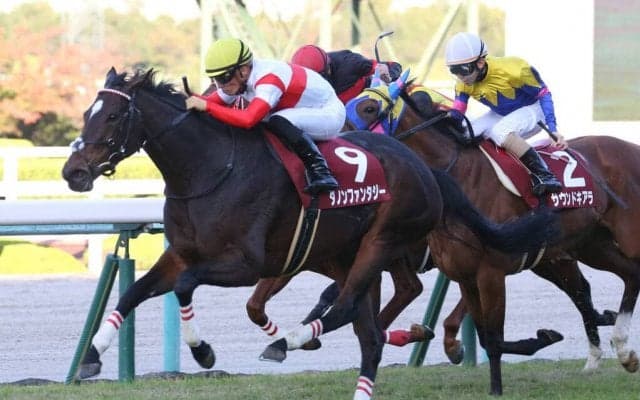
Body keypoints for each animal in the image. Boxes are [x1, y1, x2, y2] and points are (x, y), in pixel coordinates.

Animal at [61, 67, 558, 399]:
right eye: (87, 111)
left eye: (111, 117)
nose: (73, 172)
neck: (212, 168)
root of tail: (426, 171)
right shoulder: (183, 253)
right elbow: (134, 292)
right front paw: (92, 356)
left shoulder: (246, 263)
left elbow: (185, 287)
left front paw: (203, 352)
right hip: (350, 254)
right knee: (370, 330)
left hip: (382, 242)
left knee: (351, 307)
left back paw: (291, 340)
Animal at [343, 82, 640, 395]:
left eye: (369, 108)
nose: (346, 141)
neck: (461, 177)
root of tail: (632, 147)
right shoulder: (462, 273)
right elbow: (484, 335)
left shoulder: (490, 272)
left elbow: (492, 336)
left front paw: (497, 386)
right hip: (587, 247)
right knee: (618, 278)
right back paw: (619, 351)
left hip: (619, 239)